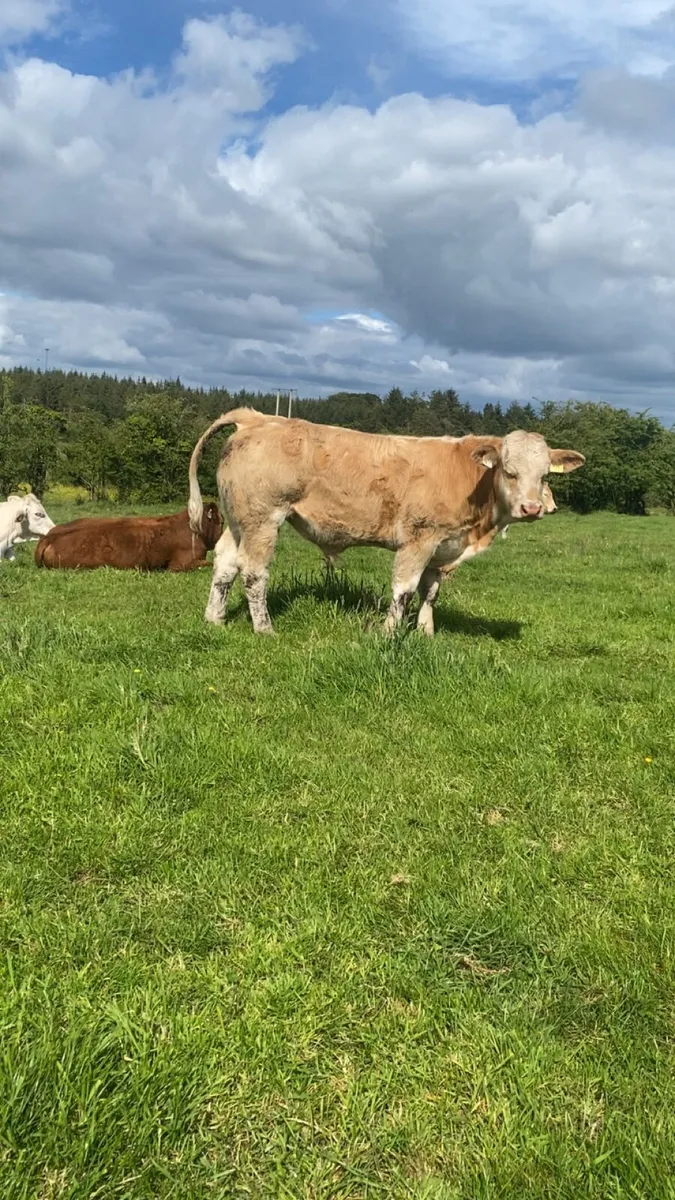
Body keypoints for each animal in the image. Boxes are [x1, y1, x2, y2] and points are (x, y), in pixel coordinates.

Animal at [187, 408, 584, 636]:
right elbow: (404, 590)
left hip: (239, 520)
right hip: (263, 519)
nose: (532, 508)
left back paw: (214, 619)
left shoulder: (442, 547)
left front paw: (425, 633)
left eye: (544, 475)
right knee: (254, 572)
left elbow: (430, 592)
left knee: (225, 563)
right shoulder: (419, 540)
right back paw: (265, 629)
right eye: (509, 470)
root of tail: (257, 417)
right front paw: (390, 633)